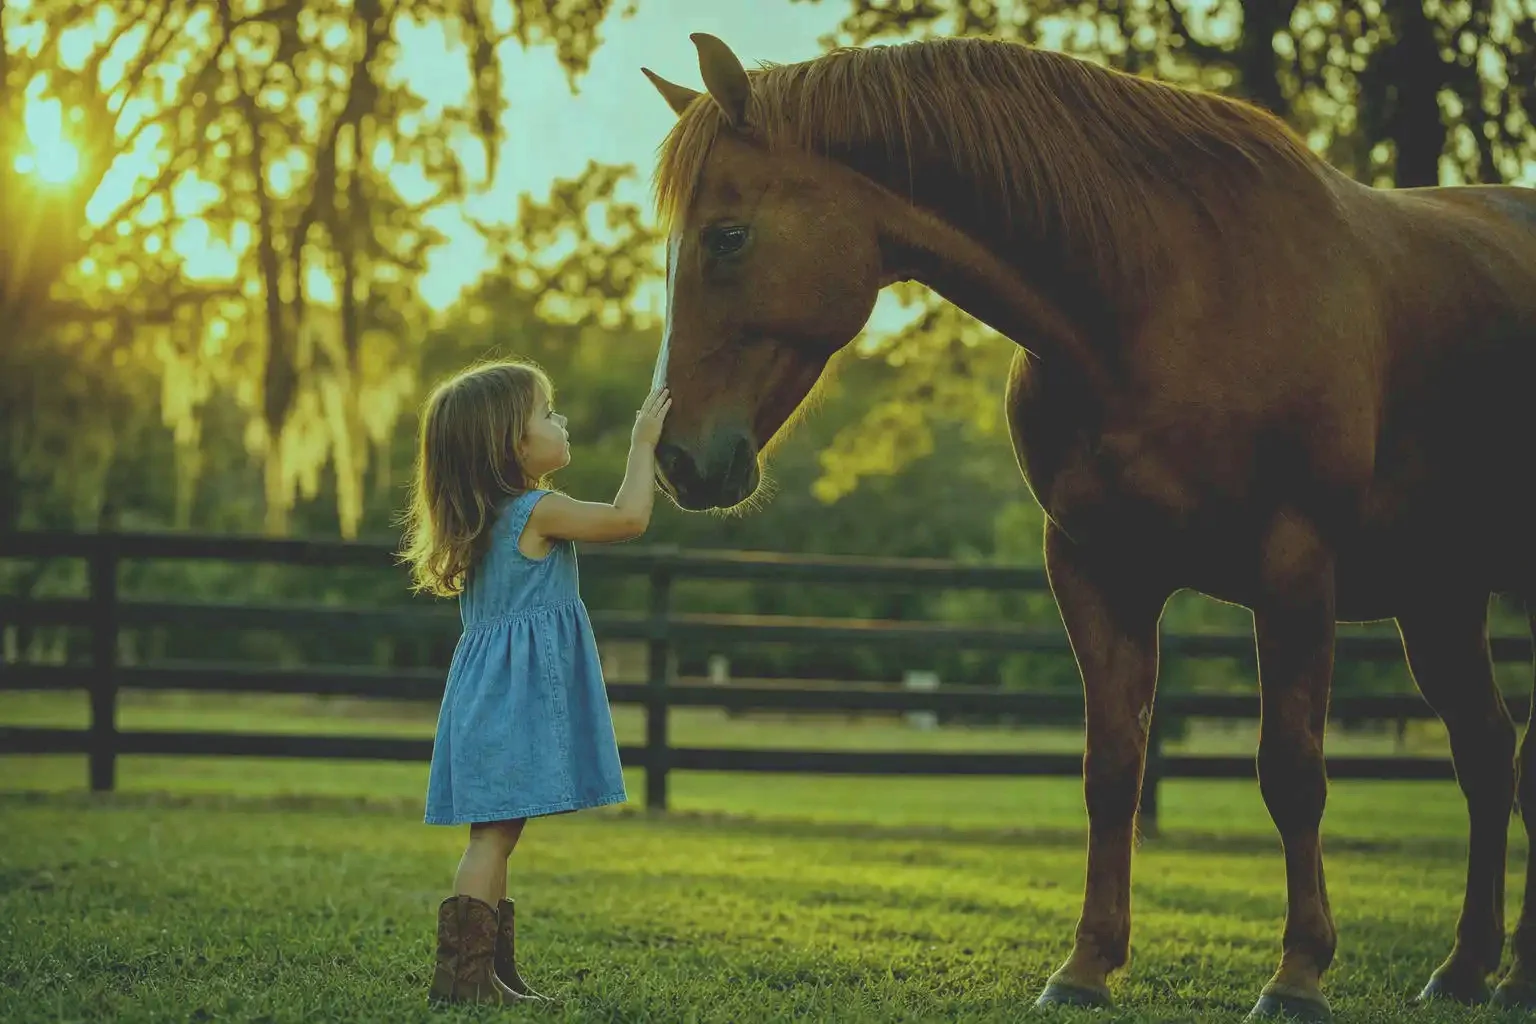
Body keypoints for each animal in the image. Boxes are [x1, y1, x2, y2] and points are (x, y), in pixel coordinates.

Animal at [637, 30, 1536, 1021]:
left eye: (728, 236)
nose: (676, 459)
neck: (1169, 294)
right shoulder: (1096, 570)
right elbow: (1111, 769)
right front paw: (1085, 967)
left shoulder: (1295, 569)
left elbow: (1291, 773)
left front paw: (1298, 975)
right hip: (1440, 598)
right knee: (1489, 755)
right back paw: (1467, 969)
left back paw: (1513, 973)